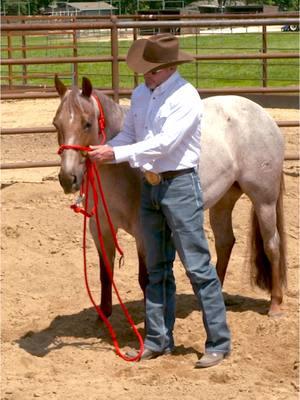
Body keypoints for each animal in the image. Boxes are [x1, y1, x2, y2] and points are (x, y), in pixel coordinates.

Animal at [53, 76, 286, 318]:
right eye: (56, 124)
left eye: (87, 123)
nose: (68, 178)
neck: (122, 171)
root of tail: (263, 115)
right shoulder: (101, 229)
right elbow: (105, 273)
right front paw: (104, 316)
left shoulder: (143, 232)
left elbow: (145, 279)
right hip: (224, 201)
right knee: (225, 242)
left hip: (264, 201)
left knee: (272, 244)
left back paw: (275, 305)